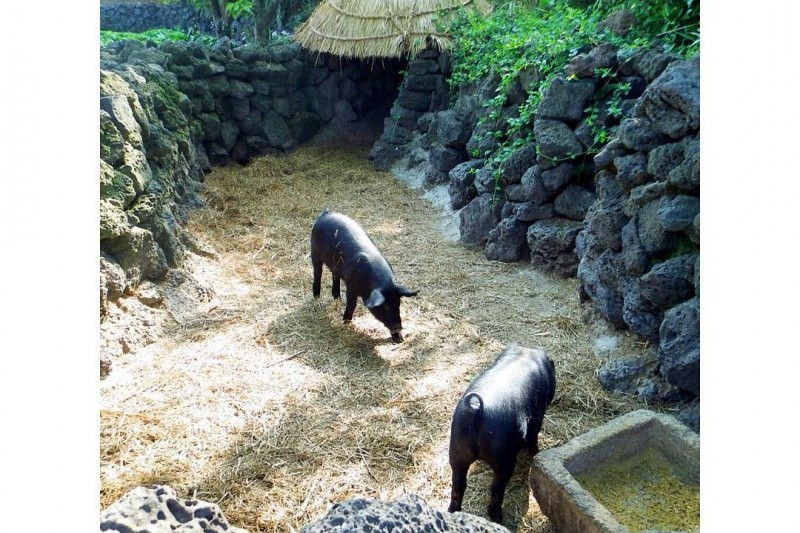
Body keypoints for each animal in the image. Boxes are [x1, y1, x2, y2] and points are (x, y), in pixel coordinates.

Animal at [310, 208, 418, 340]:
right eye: (384, 307)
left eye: (398, 303)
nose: (398, 327)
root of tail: (325, 214)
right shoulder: (351, 286)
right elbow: (352, 304)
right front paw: (346, 322)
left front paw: (399, 340)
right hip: (314, 252)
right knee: (317, 272)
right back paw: (316, 297)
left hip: (335, 264)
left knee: (335, 275)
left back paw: (337, 298)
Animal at [450, 344, 556, 524]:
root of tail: (476, 408)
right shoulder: (537, 415)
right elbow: (533, 436)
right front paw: (536, 452)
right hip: (503, 459)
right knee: (495, 489)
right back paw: (498, 518)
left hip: (456, 451)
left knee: (458, 485)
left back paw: (453, 512)